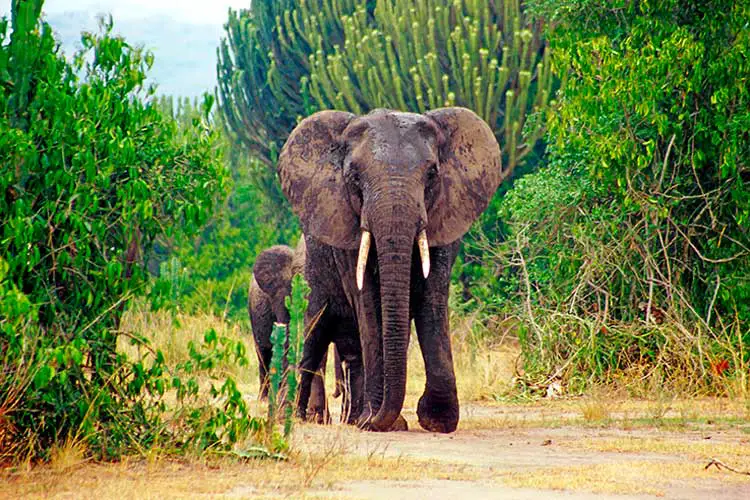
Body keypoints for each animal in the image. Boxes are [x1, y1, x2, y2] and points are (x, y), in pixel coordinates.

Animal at [280, 107, 508, 432]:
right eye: (354, 177)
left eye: (432, 174)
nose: (380, 418)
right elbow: (369, 304)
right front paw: (379, 421)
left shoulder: (443, 217)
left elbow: (432, 298)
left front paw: (438, 421)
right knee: (315, 332)